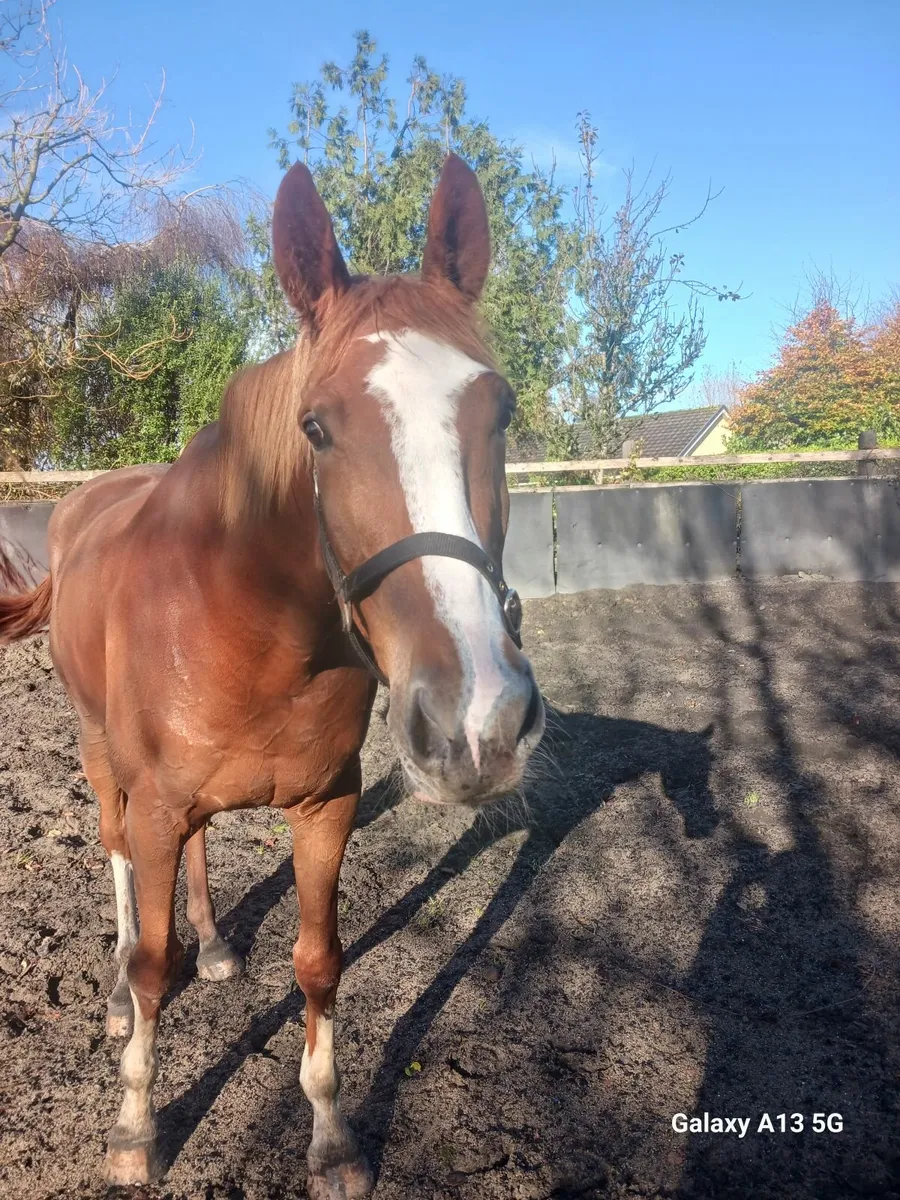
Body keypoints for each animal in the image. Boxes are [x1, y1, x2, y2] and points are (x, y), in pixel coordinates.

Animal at [0, 154, 545, 1198]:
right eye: (318, 429)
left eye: (498, 411)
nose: (478, 722)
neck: (251, 614)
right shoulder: (155, 802)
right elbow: (150, 964)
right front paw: (134, 1126)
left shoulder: (324, 805)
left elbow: (319, 961)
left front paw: (330, 1137)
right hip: (99, 755)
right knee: (118, 863)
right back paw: (122, 988)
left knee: (199, 864)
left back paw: (214, 945)